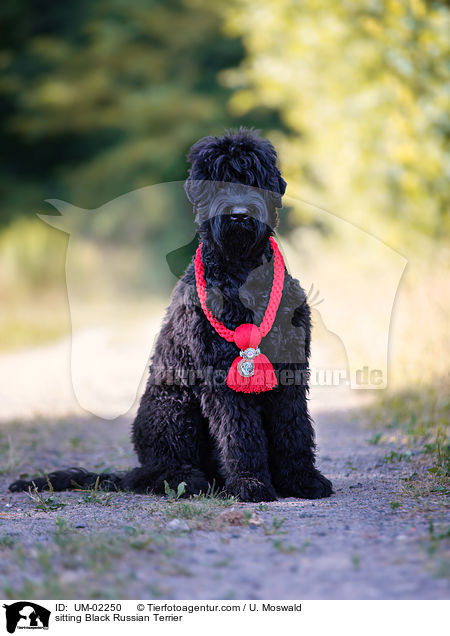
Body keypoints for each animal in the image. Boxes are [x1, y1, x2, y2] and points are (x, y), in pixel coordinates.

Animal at [9, 126, 330, 500]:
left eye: (254, 177)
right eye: (216, 180)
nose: (238, 213)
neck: (240, 273)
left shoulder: (290, 366)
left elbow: (294, 427)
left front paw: (302, 478)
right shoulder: (220, 373)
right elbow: (240, 433)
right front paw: (250, 482)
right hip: (174, 411)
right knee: (154, 473)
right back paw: (189, 480)